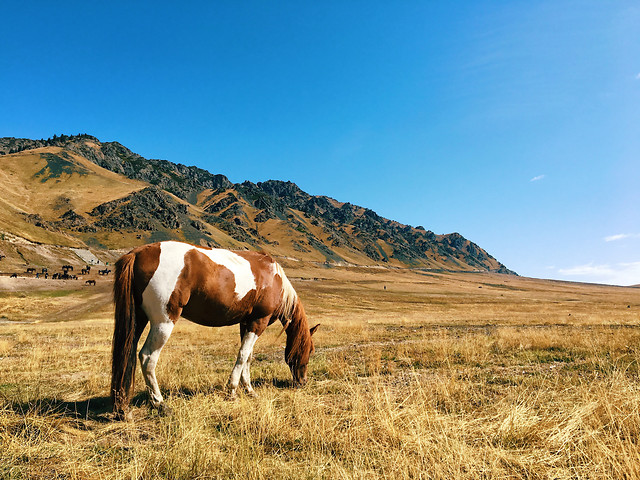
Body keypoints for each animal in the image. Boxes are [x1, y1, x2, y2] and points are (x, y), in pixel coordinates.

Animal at [112, 242, 320, 418]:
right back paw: (160, 403)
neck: (274, 277)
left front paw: (249, 390)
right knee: (147, 357)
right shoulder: (258, 322)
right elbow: (243, 355)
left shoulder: (246, 323)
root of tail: (137, 252)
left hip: (139, 321)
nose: (303, 382)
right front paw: (232, 391)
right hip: (163, 323)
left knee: (127, 355)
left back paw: (123, 407)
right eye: (310, 351)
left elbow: (248, 357)